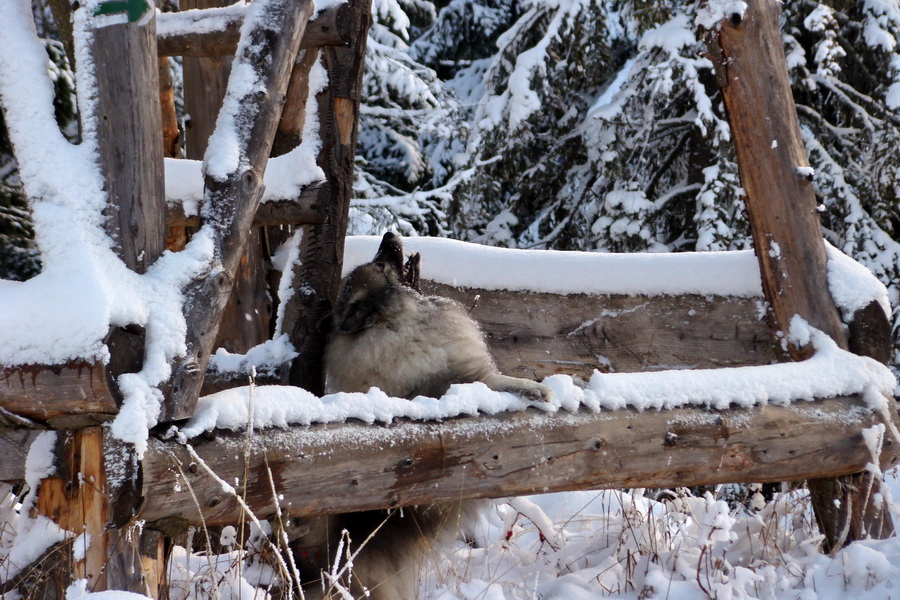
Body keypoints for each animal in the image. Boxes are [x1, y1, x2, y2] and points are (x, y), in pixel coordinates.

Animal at [296, 232, 548, 596]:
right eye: (381, 266)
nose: (389, 235)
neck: (397, 324)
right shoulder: (465, 381)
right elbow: (499, 382)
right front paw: (538, 389)